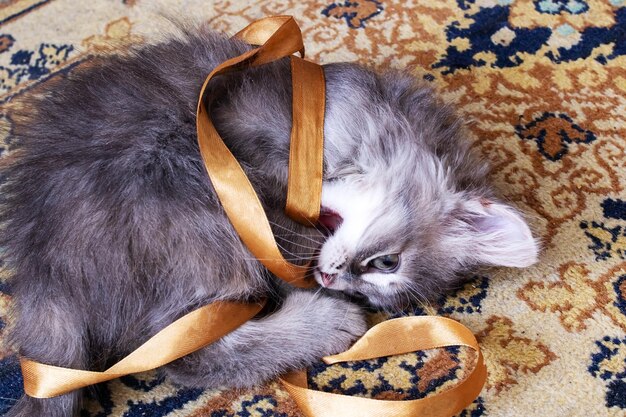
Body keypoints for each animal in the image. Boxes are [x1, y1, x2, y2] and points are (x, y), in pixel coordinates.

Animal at [0, 23, 536, 416]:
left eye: (376, 287)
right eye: (388, 263)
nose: (337, 283)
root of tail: (43, 266)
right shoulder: (240, 157)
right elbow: (287, 225)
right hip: (186, 194)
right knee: (190, 357)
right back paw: (325, 321)